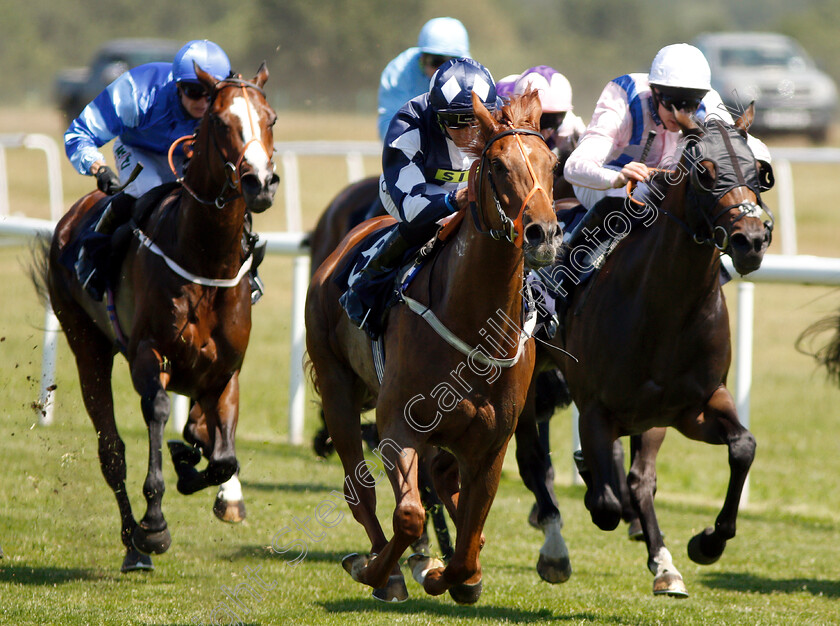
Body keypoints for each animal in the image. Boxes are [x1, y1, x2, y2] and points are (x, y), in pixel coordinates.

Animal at [33, 63, 278, 572]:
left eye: (271, 119)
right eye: (221, 122)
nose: (261, 183)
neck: (206, 261)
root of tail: (73, 215)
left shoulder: (226, 369)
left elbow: (224, 455)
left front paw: (203, 473)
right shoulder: (150, 355)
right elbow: (160, 413)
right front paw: (155, 525)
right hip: (86, 344)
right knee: (111, 451)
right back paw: (134, 544)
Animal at [306, 90, 560, 604]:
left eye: (552, 162)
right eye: (498, 165)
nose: (543, 233)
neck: (474, 325)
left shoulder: (491, 444)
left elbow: (469, 541)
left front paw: (453, 574)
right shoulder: (397, 426)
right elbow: (408, 514)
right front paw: (381, 571)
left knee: (445, 487)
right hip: (338, 389)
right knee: (360, 490)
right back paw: (386, 566)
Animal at [540, 106, 776, 596]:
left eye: (758, 173)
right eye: (705, 172)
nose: (751, 240)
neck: (665, 310)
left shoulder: (693, 406)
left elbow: (742, 447)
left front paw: (707, 542)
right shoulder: (596, 407)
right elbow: (606, 502)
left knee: (639, 479)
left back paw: (664, 566)